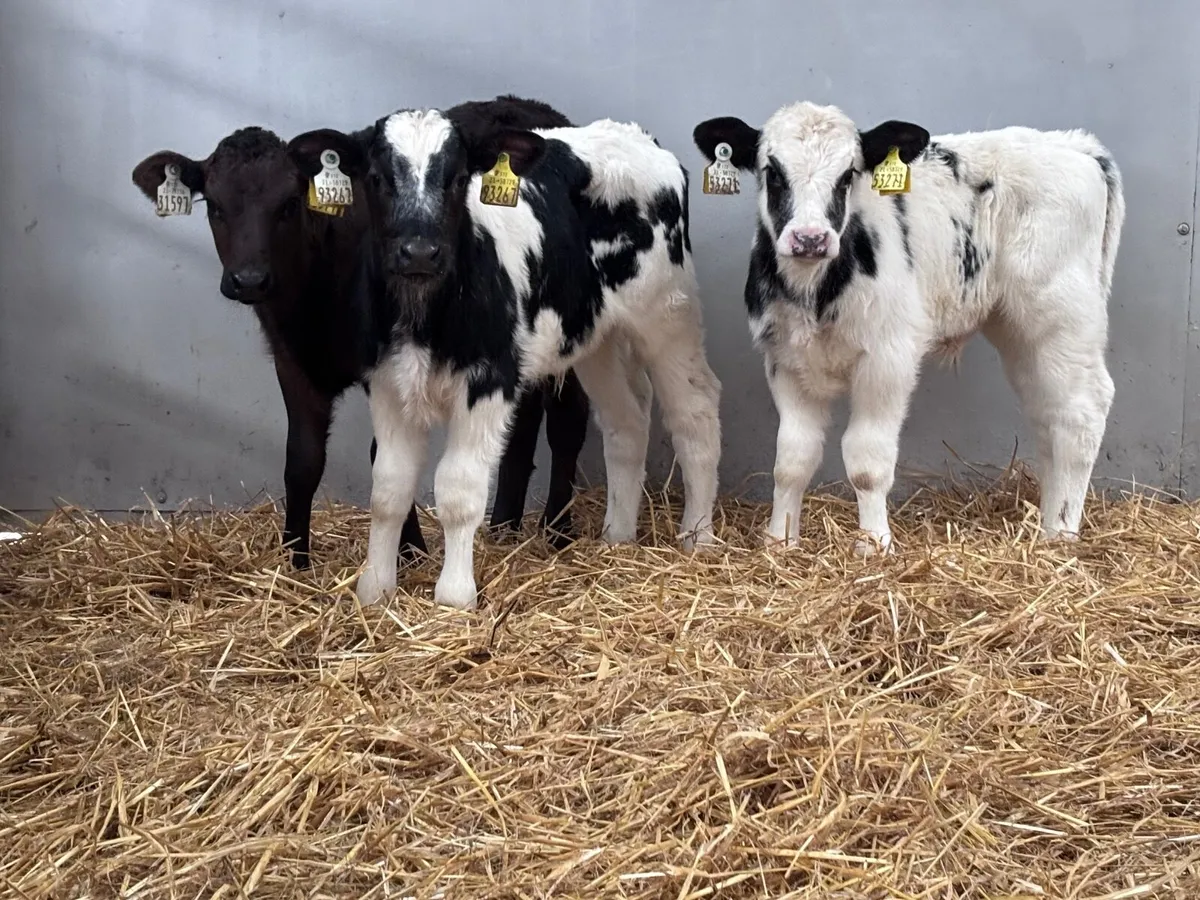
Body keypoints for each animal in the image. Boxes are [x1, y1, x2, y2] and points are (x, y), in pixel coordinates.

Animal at [130, 95, 591, 571]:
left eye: (289, 205)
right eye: (215, 206)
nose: (250, 280)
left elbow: (384, 456)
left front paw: (409, 551)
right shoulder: (293, 362)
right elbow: (302, 459)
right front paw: (295, 558)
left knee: (569, 418)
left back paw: (558, 530)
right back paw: (503, 528)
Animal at [288, 105, 723, 610]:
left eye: (458, 178)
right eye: (377, 178)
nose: (419, 252)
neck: (425, 318)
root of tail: (637, 137)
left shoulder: (490, 380)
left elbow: (459, 489)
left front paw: (454, 597)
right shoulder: (387, 382)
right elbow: (389, 489)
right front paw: (375, 589)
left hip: (668, 317)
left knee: (695, 411)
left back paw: (698, 538)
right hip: (596, 337)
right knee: (627, 422)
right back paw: (617, 538)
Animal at [693, 102, 1123, 554]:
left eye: (848, 175)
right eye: (772, 172)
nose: (810, 238)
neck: (816, 294)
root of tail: (1074, 144)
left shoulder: (888, 357)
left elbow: (866, 460)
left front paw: (873, 544)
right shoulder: (785, 359)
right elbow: (792, 458)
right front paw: (781, 540)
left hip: (1062, 315)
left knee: (1082, 410)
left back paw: (1063, 533)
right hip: (1021, 331)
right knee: (1048, 412)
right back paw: (1046, 526)